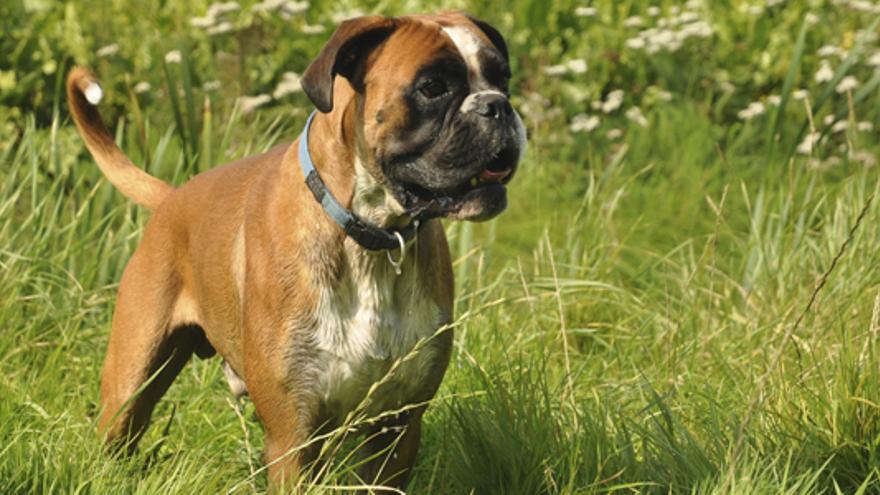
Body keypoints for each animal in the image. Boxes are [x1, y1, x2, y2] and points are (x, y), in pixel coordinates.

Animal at [69, 11, 524, 492]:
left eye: (503, 78)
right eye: (432, 86)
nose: (497, 106)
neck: (370, 238)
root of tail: (172, 198)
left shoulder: (396, 429)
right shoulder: (294, 438)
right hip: (130, 385)